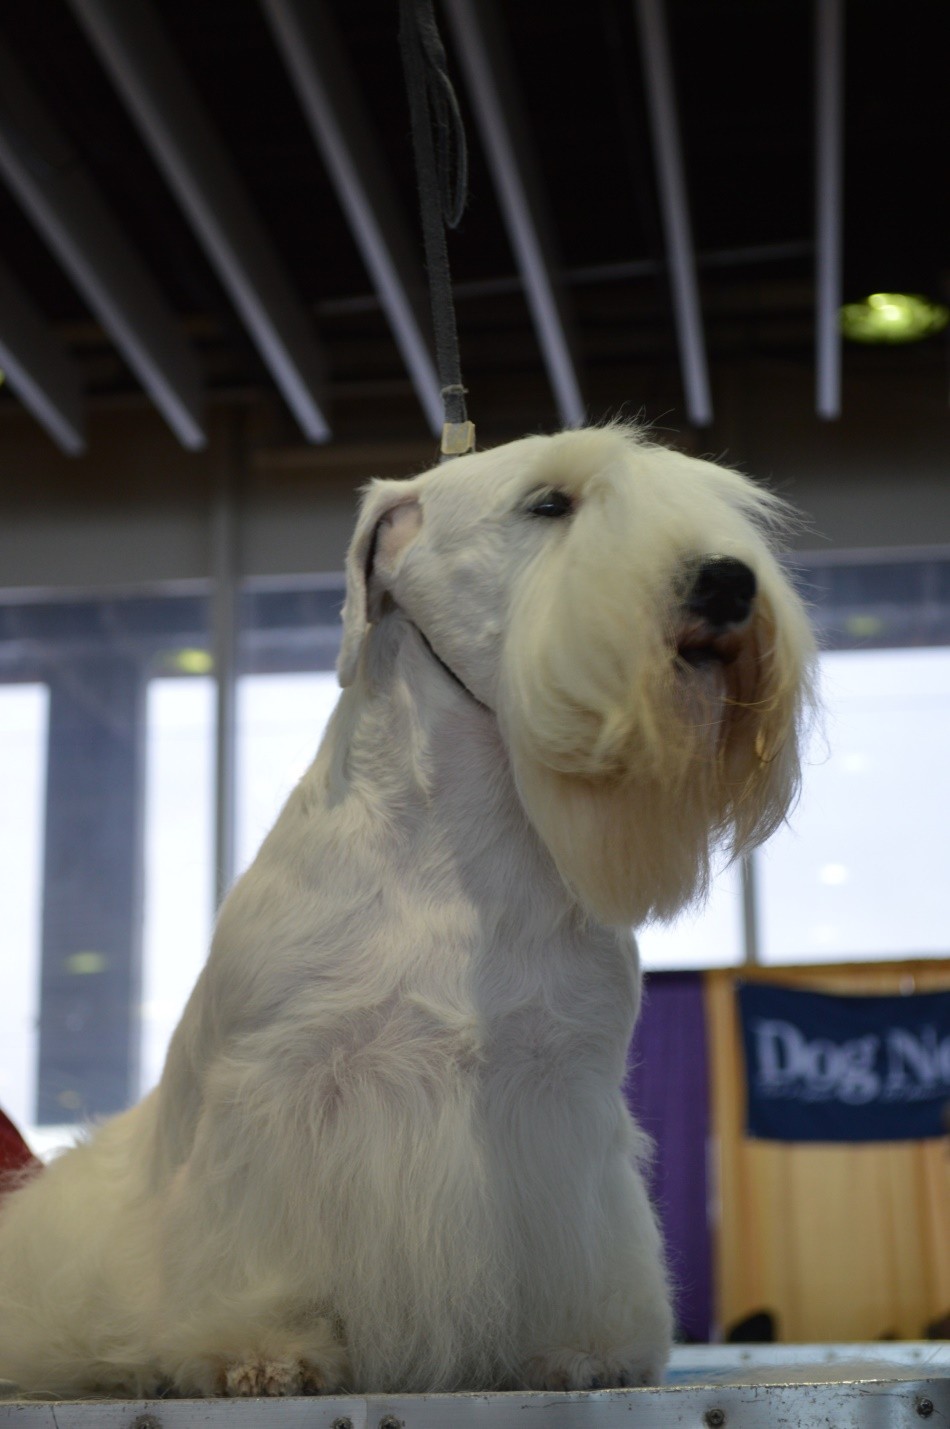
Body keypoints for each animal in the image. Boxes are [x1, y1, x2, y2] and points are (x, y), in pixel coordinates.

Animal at [0, 420, 817, 1394]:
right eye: (550, 502)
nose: (728, 582)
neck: (464, 844)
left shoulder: (560, 1093)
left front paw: (583, 1346)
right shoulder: (278, 1085)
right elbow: (256, 1254)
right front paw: (260, 1350)